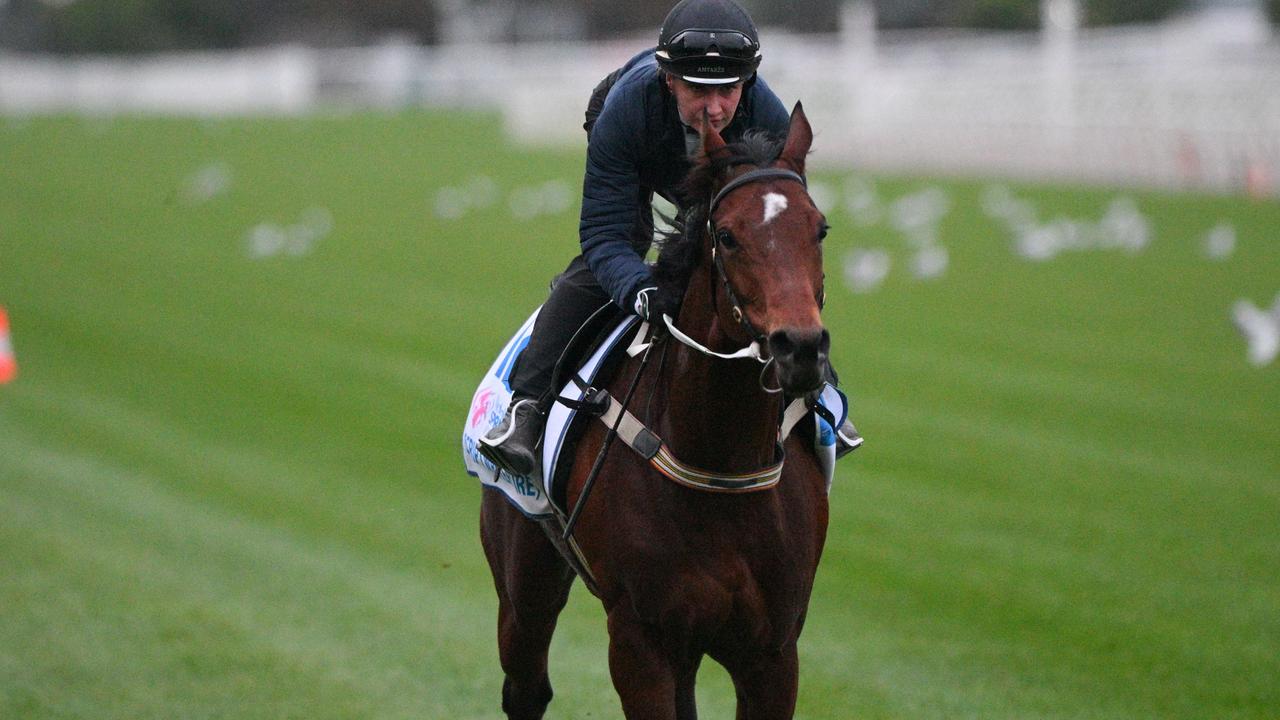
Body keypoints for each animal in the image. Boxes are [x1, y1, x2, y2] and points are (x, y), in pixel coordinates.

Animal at [481, 102, 829, 717]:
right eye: (727, 235)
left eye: (820, 228)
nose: (801, 348)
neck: (720, 460)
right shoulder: (641, 639)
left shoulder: (772, 650)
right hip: (524, 579)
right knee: (527, 685)